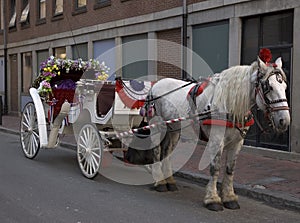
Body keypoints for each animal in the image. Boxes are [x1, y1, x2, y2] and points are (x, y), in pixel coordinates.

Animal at [143, 57, 290, 211]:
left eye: (285, 87)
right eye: (269, 87)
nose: (284, 120)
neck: (229, 104)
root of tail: (155, 86)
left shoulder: (237, 142)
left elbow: (230, 169)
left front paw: (229, 197)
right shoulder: (216, 141)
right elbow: (215, 168)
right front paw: (212, 199)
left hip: (174, 130)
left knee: (167, 151)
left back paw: (169, 181)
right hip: (157, 127)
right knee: (156, 150)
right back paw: (159, 182)